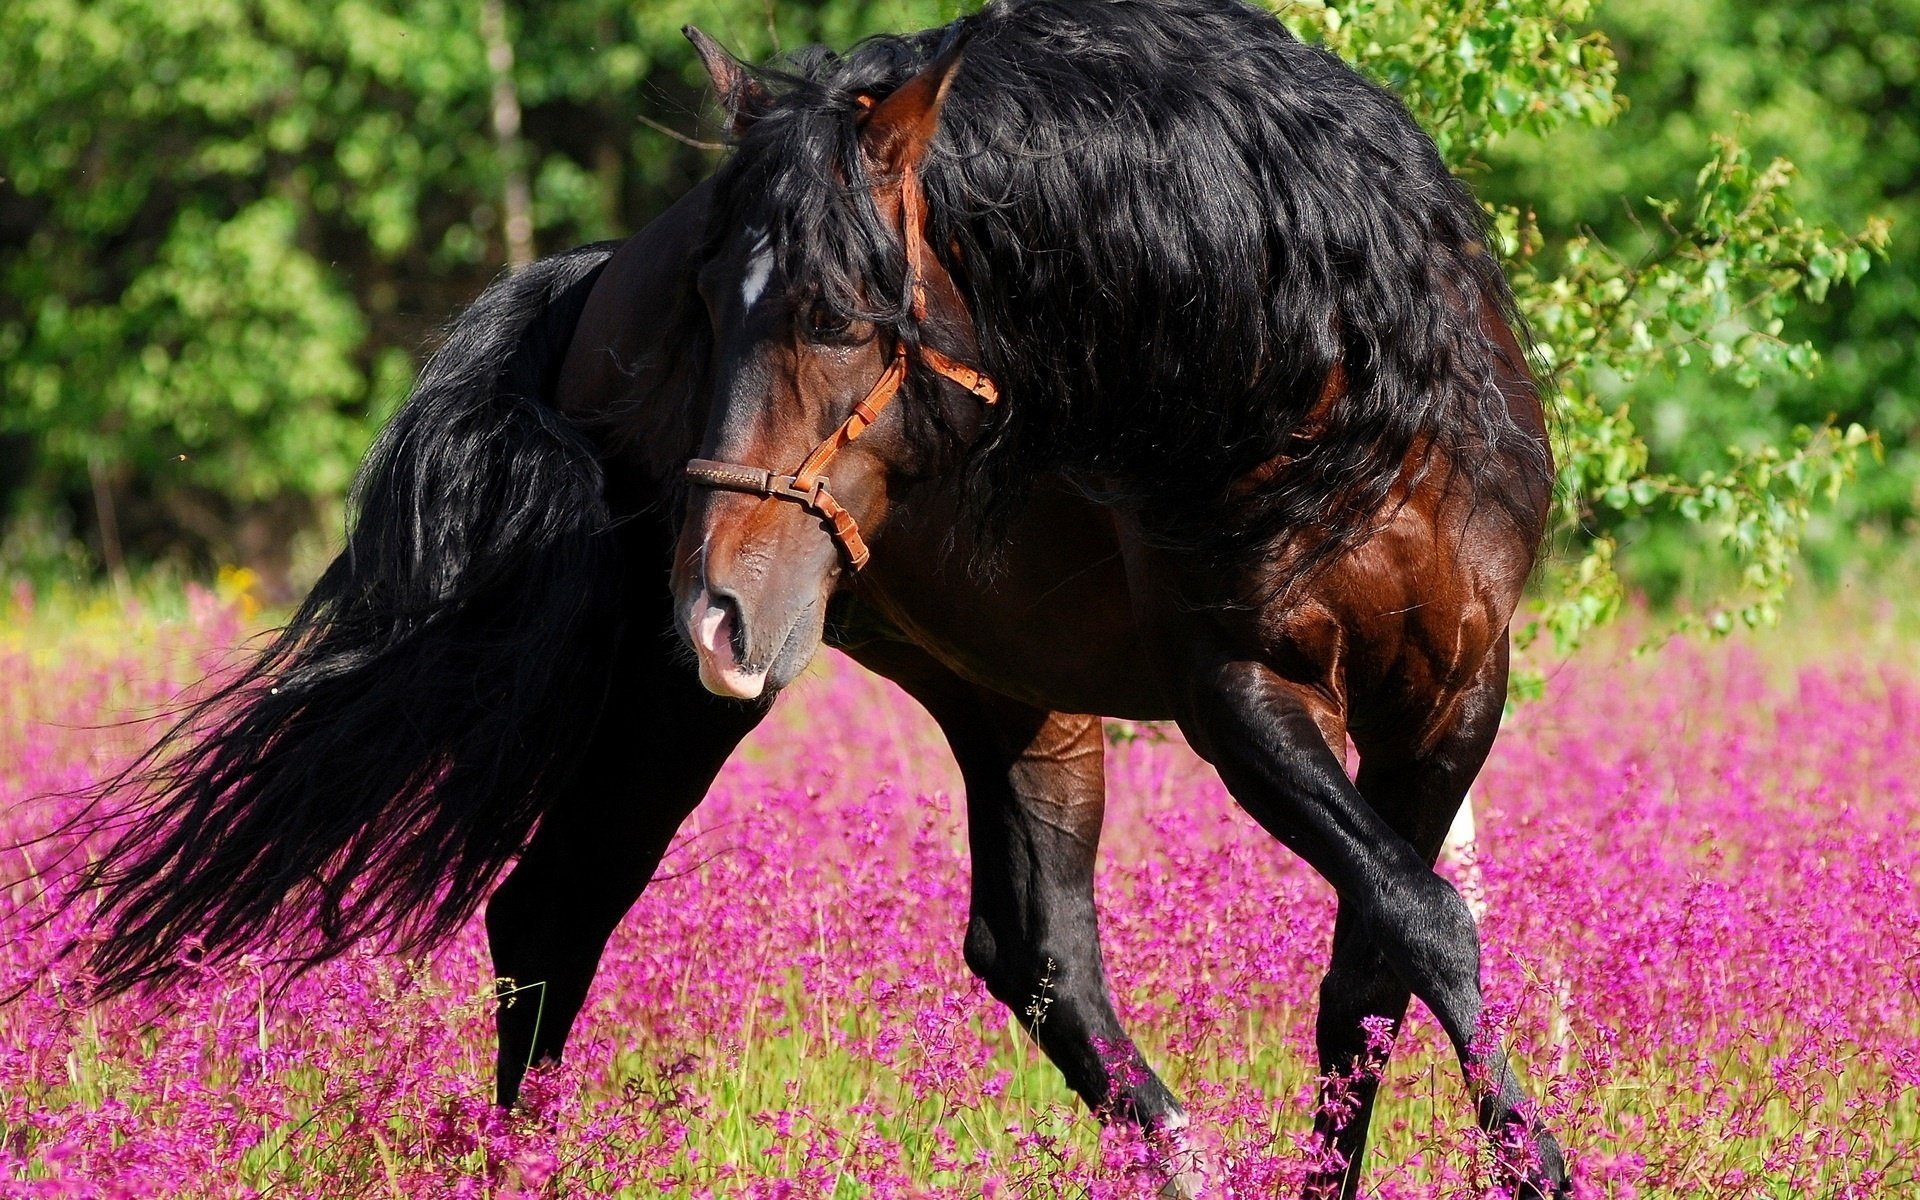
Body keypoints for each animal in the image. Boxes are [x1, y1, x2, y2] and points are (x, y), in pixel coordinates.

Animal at [48, 1, 1570, 1196]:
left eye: (841, 318)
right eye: (709, 309)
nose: (713, 607)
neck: (1310, 381)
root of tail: (586, 283)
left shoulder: (1450, 693)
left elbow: (1377, 966)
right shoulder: (1242, 697)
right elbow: (1426, 925)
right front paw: (1540, 1165)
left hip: (1005, 696)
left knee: (1040, 958)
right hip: (687, 699)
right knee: (552, 913)